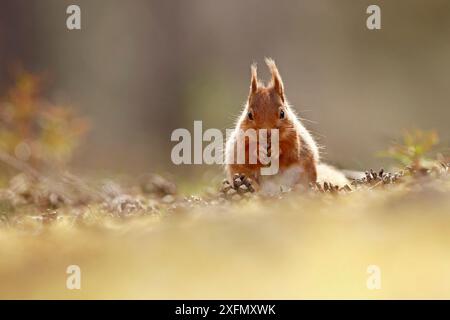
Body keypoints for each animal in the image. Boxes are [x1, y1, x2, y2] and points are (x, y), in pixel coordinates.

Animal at [225, 57, 348, 191]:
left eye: (282, 113)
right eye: (249, 115)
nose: (267, 133)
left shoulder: (294, 138)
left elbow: (291, 152)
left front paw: (276, 150)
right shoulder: (242, 140)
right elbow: (247, 153)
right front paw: (259, 151)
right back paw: (248, 184)